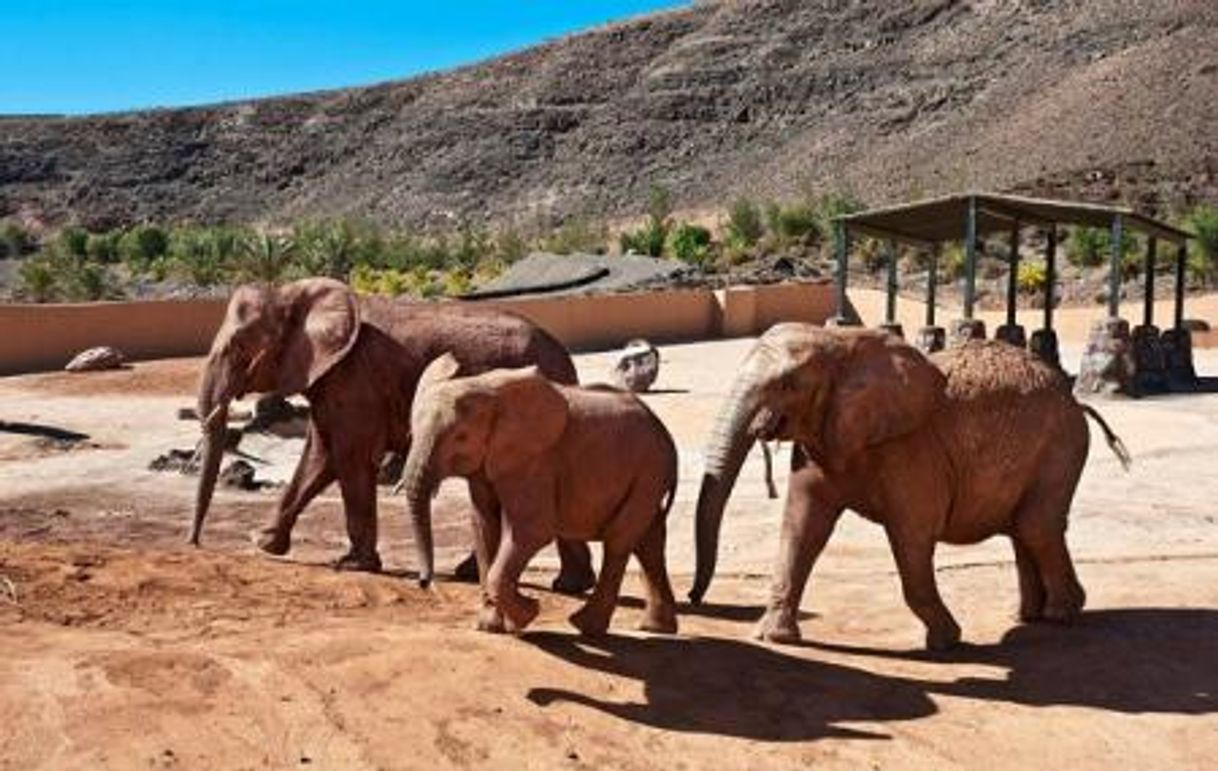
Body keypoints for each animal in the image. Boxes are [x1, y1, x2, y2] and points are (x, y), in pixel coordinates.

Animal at [183, 275, 594, 589]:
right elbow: (321, 456)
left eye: (238, 347)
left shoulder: (355, 378)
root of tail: (567, 362)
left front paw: (352, 565)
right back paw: (553, 583)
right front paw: (264, 544)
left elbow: (348, 456)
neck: (292, 292)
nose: (194, 543)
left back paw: (558, 584)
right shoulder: (332, 378)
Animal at [401, 350, 682, 633]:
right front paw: (491, 627)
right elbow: (484, 526)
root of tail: (664, 433)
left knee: (619, 539)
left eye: (461, 437)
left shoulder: (535, 461)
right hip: (647, 475)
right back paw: (655, 628)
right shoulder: (488, 464)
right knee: (649, 540)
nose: (424, 583)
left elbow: (530, 529)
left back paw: (585, 626)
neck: (483, 386)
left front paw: (526, 615)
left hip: (648, 471)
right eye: (411, 433)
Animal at [691, 323, 1125, 647]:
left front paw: (946, 642)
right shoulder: (823, 438)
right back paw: (1026, 616)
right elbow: (801, 526)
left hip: (1062, 444)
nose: (694, 599)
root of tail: (1075, 400)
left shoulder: (910, 450)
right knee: (1024, 527)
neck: (840, 343)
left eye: (787, 384)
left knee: (1036, 524)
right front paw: (773, 638)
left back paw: (1062, 614)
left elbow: (912, 535)